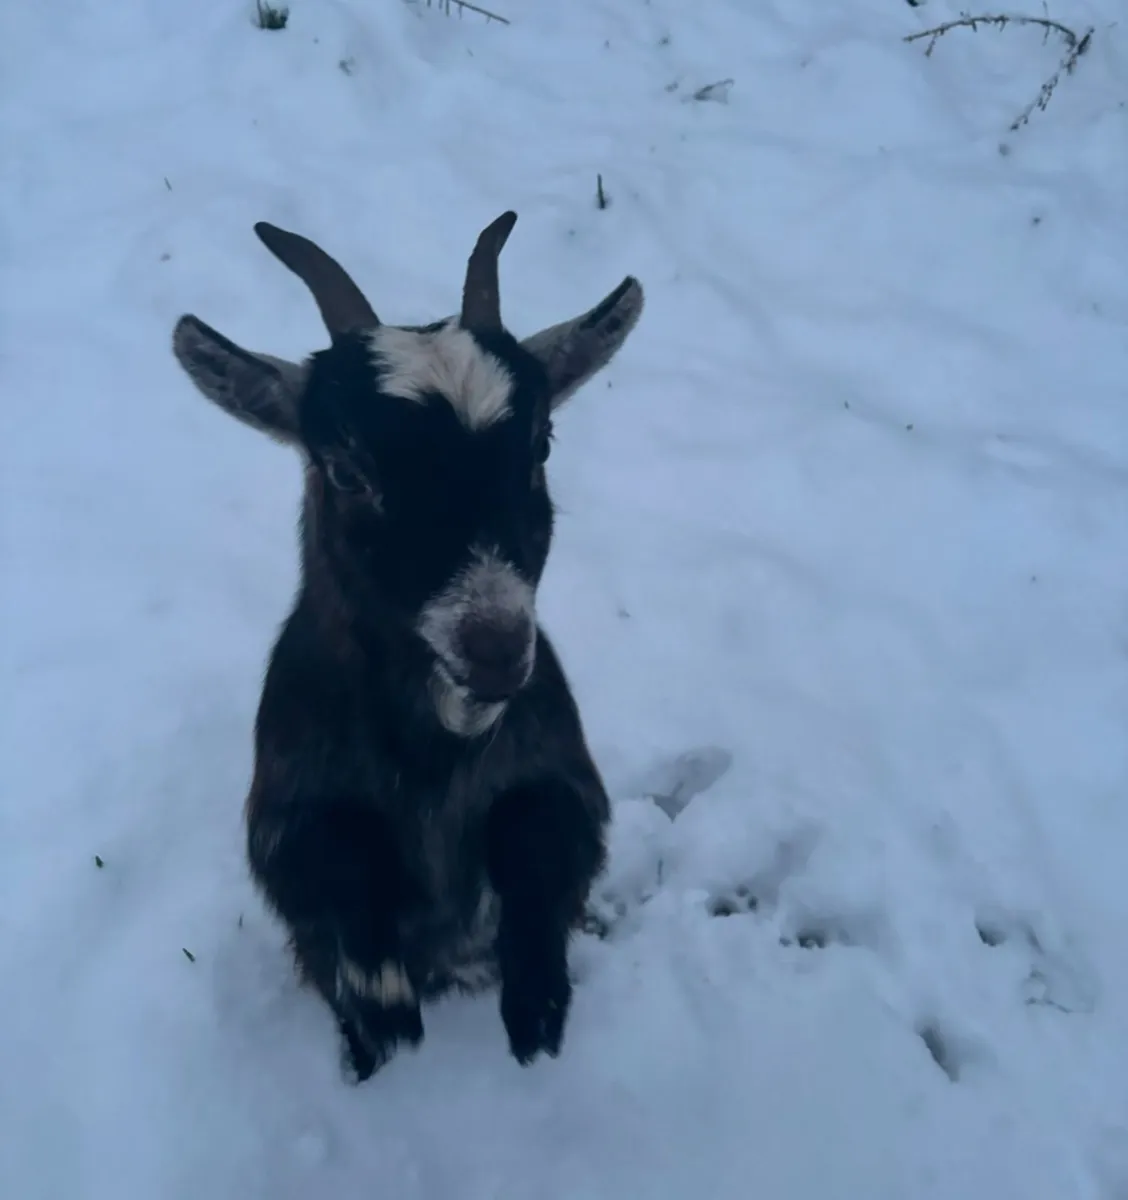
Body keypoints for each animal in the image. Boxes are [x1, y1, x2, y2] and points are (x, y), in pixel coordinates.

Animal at [171, 211, 644, 1080]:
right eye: (347, 471)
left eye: (540, 447)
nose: (496, 646)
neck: (439, 743)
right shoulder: (287, 812)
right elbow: (334, 864)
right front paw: (382, 1002)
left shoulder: (559, 770)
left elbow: (544, 835)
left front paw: (536, 1002)